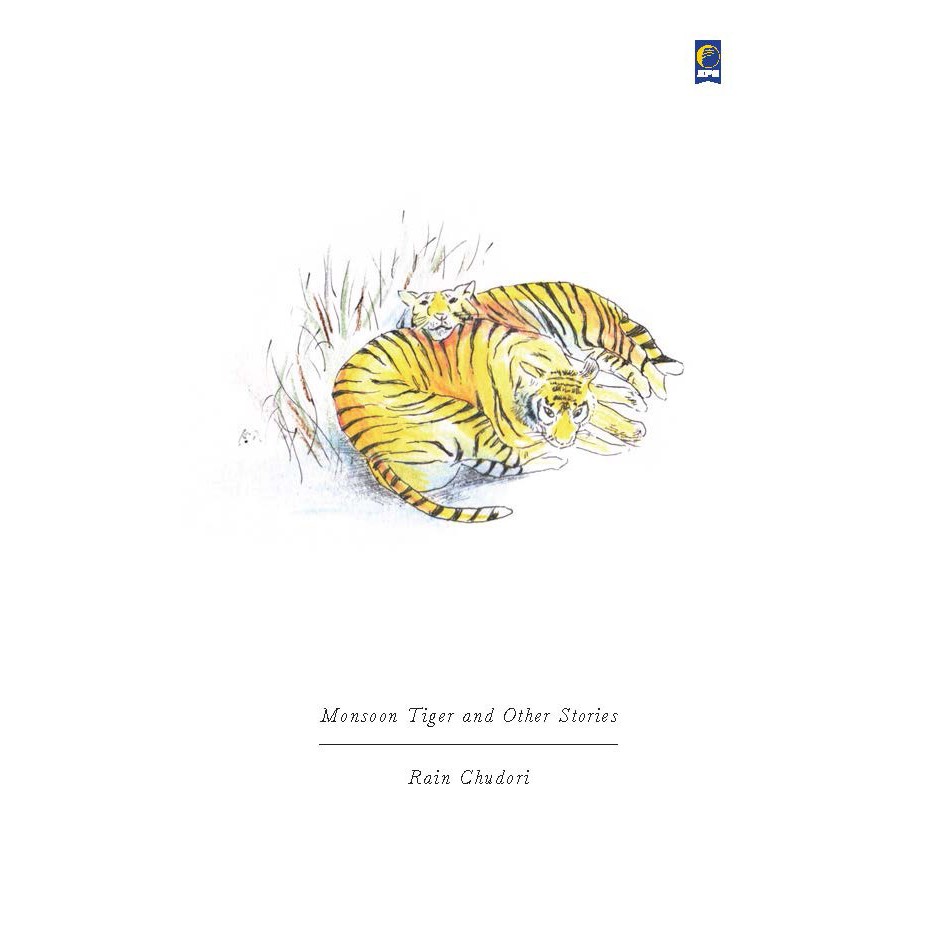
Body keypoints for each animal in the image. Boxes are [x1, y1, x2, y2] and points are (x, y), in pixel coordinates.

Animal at [332, 318, 645, 522]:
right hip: (462, 416)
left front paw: (630, 407)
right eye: (549, 411)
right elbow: (586, 433)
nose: (562, 441)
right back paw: (556, 459)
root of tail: (371, 453)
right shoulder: (521, 429)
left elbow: (600, 398)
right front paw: (620, 438)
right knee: (518, 459)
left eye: (578, 411)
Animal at [400, 280, 683, 400]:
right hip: (586, 348)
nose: (439, 315)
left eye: (450, 300)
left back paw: (660, 391)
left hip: (606, 335)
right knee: (624, 363)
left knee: (639, 356)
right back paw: (644, 389)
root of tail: (601, 298)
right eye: (424, 303)